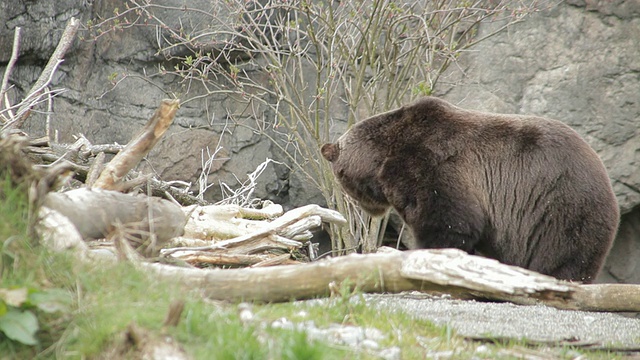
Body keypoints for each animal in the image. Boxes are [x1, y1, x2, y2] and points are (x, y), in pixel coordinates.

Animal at [322, 97, 616, 282]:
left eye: (340, 177)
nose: (364, 207)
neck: (384, 156)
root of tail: (604, 174)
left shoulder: (431, 166)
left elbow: (449, 221)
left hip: (560, 208)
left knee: (564, 254)